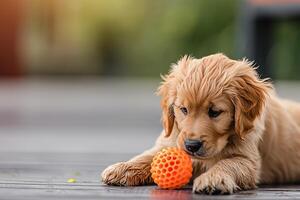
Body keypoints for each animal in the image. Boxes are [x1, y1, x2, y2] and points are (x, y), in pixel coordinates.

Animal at [100, 54, 300, 195]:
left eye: (215, 112)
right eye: (183, 109)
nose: (192, 145)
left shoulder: (248, 161)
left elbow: (228, 164)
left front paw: (213, 179)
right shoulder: (172, 139)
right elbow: (149, 156)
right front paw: (123, 168)